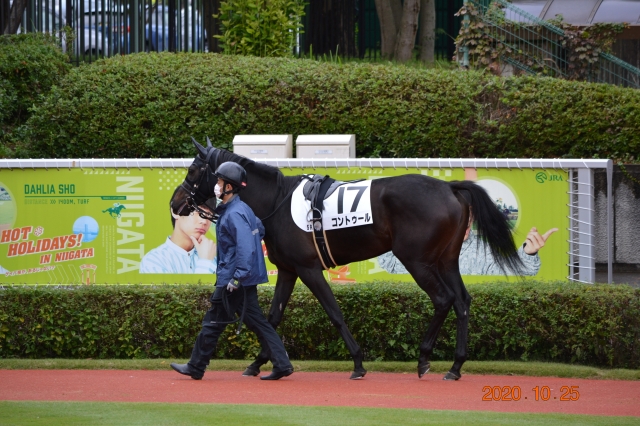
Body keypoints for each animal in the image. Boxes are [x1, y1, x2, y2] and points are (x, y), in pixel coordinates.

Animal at [173, 138, 524, 381]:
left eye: (193, 170)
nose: (175, 203)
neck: (276, 201)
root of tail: (450, 187)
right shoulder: (288, 270)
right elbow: (272, 318)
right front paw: (259, 363)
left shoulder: (308, 269)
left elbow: (335, 313)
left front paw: (357, 362)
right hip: (446, 260)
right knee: (462, 300)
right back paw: (456, 365)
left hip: (417, 260)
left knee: (443, 299)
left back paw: (425, 357)